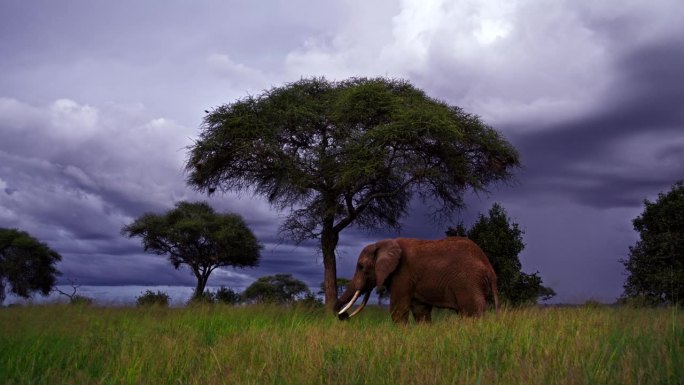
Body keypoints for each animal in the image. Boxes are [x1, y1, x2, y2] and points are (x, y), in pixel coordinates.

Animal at [334, 236, 500, 322]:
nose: (344, 316)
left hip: (468, 283)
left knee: (471, 313)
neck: (381, 244)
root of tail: (489, 268)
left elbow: (398, 310)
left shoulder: (402, 274)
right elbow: (421, 312)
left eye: (361, 267)